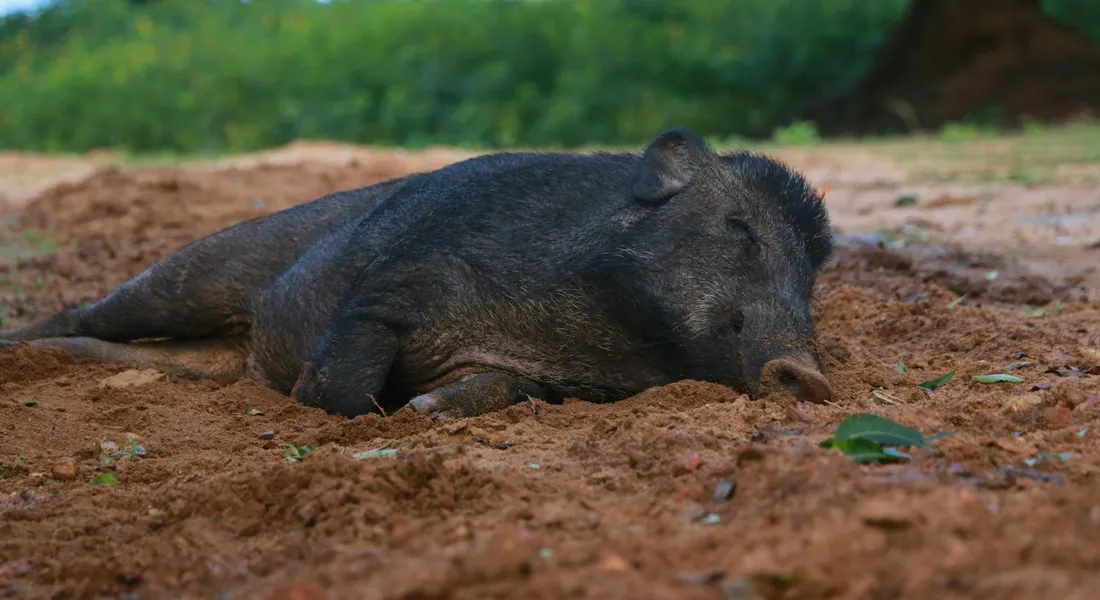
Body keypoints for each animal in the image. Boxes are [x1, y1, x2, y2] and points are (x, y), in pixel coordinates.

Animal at [1, 127, 836, 419]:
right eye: (739, 227)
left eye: (814, 268)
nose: (810, 373)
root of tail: (241, 354)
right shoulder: (390, 289)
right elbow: (352, 367)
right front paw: (352, 408)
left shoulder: (531, 373)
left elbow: (496, 389)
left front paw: (428, 410)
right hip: (196, 270)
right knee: (93, 312)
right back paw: (18, 344)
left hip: (196, 349)